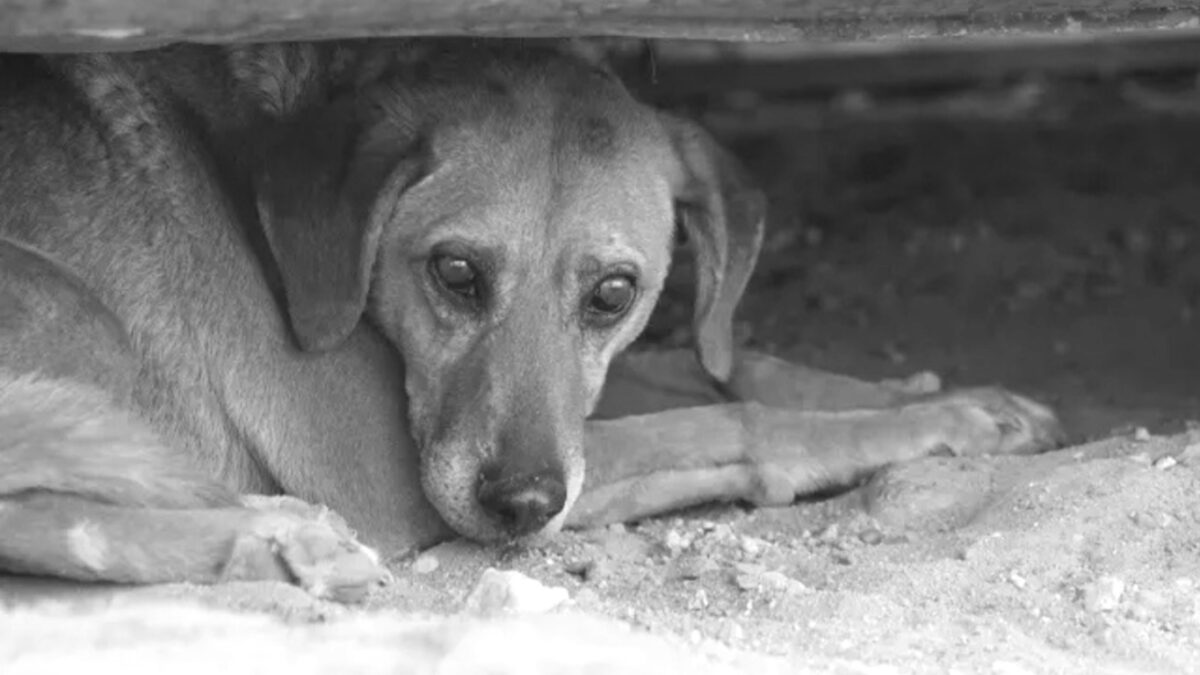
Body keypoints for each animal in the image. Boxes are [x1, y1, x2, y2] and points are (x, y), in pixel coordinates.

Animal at [0, 39, 1064, 602]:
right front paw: (929, 421)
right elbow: (727, 420)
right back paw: (270, 540)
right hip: (72, 307)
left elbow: (722, 362)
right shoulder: (392, 476)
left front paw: (953, 398)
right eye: (455, 272)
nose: (519, 504)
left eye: (613, 294)